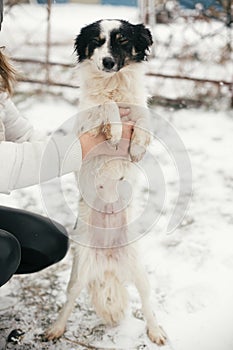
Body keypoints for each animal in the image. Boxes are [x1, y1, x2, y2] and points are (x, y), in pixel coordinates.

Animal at [45, 19, 166, 344]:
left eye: (122, 41)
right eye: (97, 42)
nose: (108, 62)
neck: (114, 87)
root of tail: (110, 259)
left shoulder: (139, 107)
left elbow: (143, 118)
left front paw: (136, 147)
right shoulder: (85, 123)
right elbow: (105, 108)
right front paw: (114, 131)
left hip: (140, 272)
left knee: (148, 303)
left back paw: (155, 331)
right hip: (79, 272)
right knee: (68, 301)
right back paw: (56, 328)